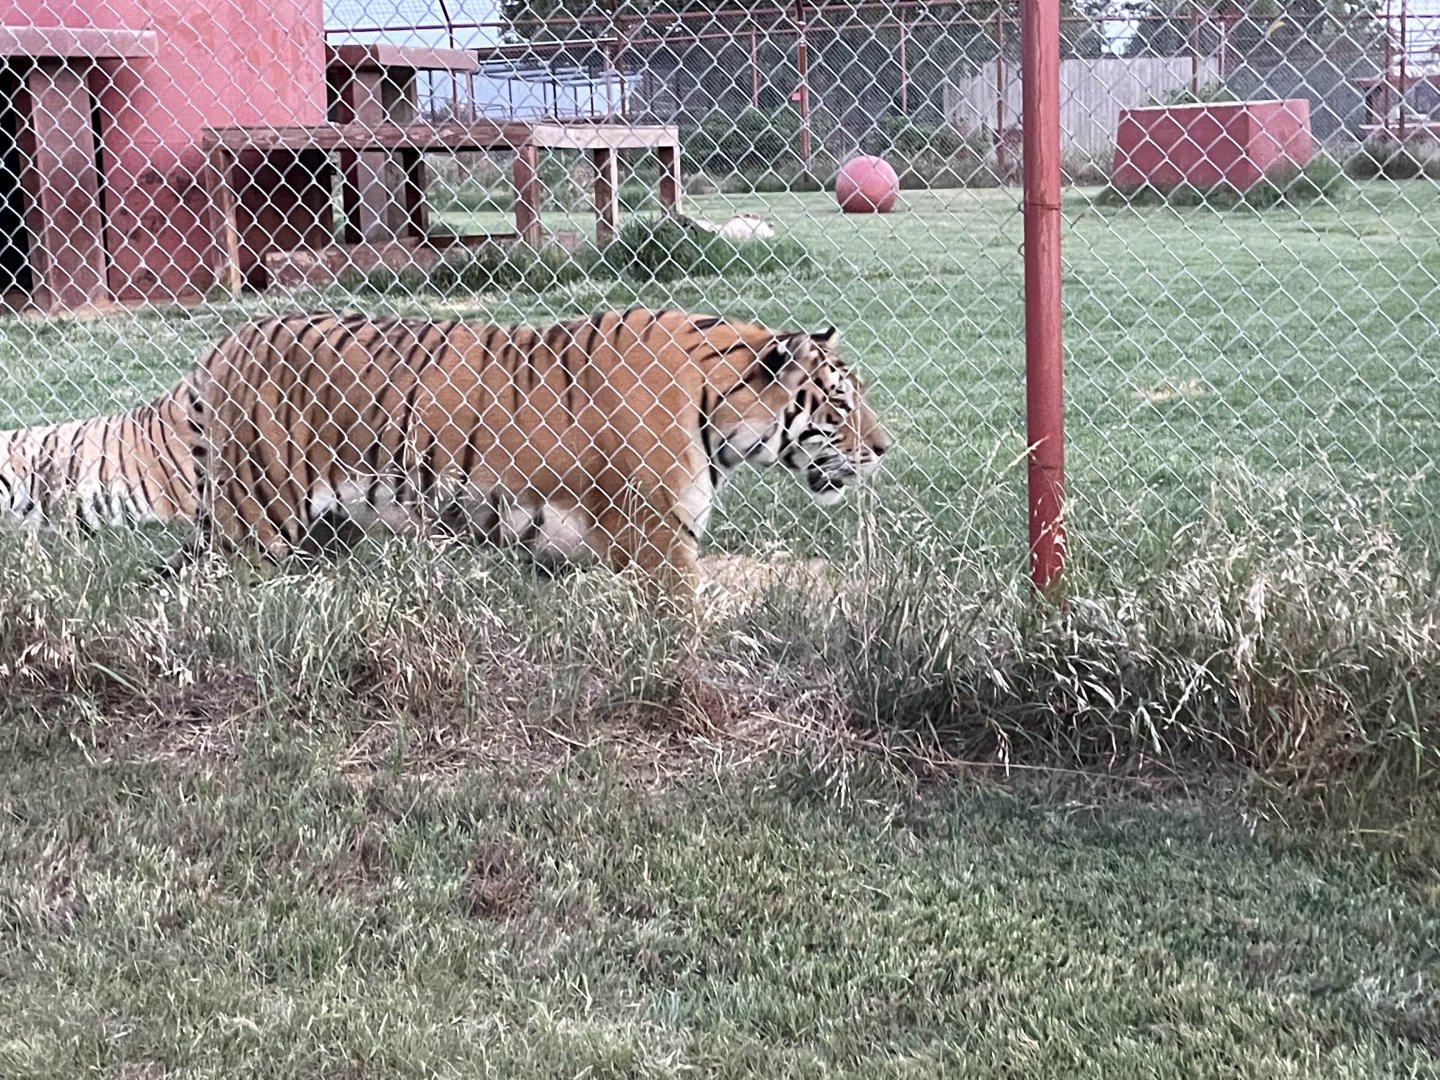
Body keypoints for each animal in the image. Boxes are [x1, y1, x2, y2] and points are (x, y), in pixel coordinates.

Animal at [0, 307, 890, 613]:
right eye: (840, 404)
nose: (885, 450)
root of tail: (214, 356)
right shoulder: (656, 541)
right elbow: (696, 615)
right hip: (261, 523)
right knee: (210, 592)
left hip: (303, 527)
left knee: (169, 579)